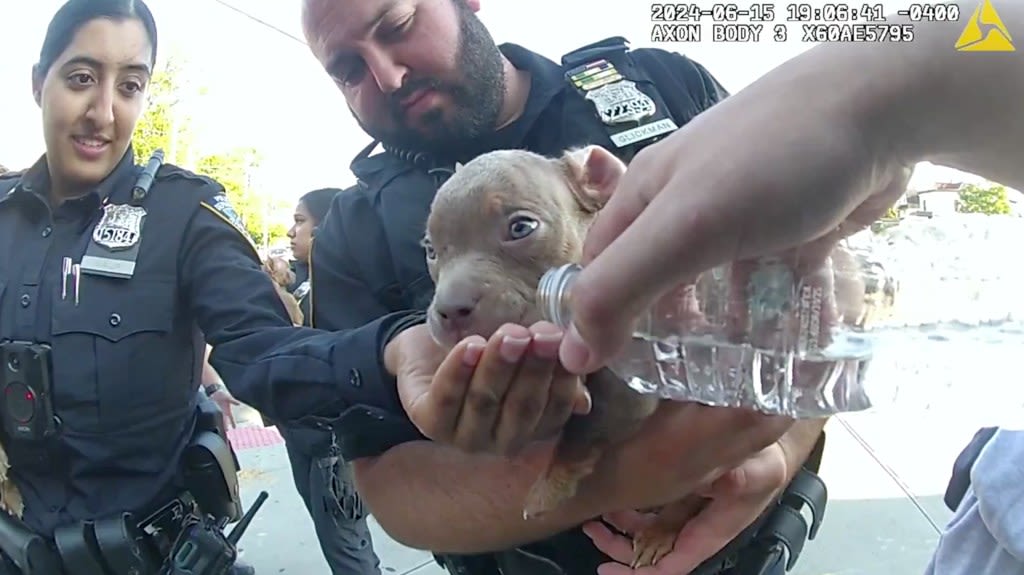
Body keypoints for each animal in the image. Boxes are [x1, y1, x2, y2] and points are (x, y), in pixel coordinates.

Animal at [421, 145, 704, 564]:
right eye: (431, 250)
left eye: (521, 228)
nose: (450, 310)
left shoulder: (625, 394)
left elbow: (581, 431)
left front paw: (548, 487)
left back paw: (659, 532)